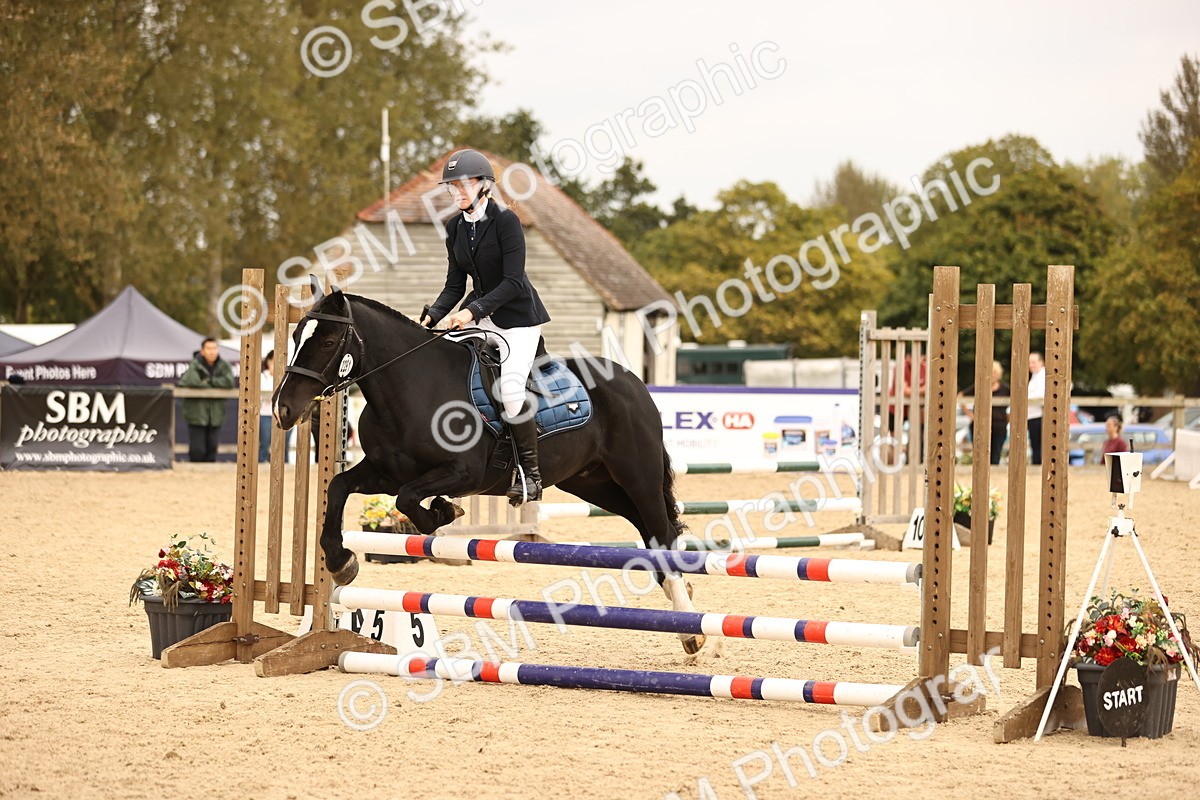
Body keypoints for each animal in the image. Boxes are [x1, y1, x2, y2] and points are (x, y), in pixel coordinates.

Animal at [272, 281, 707, 654]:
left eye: (329, 341)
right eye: (296, 338)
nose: (283, 409)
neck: (411, 388)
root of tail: (633, 381)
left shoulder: (462, 473)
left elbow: (409, 500)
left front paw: (445, 510)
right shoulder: (385, 471)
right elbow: (338, 488)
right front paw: (340, 561)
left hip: (638, 476)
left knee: (662, 532)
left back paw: (692, 632)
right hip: (593, 484)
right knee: (649, 531)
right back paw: (680, 604)